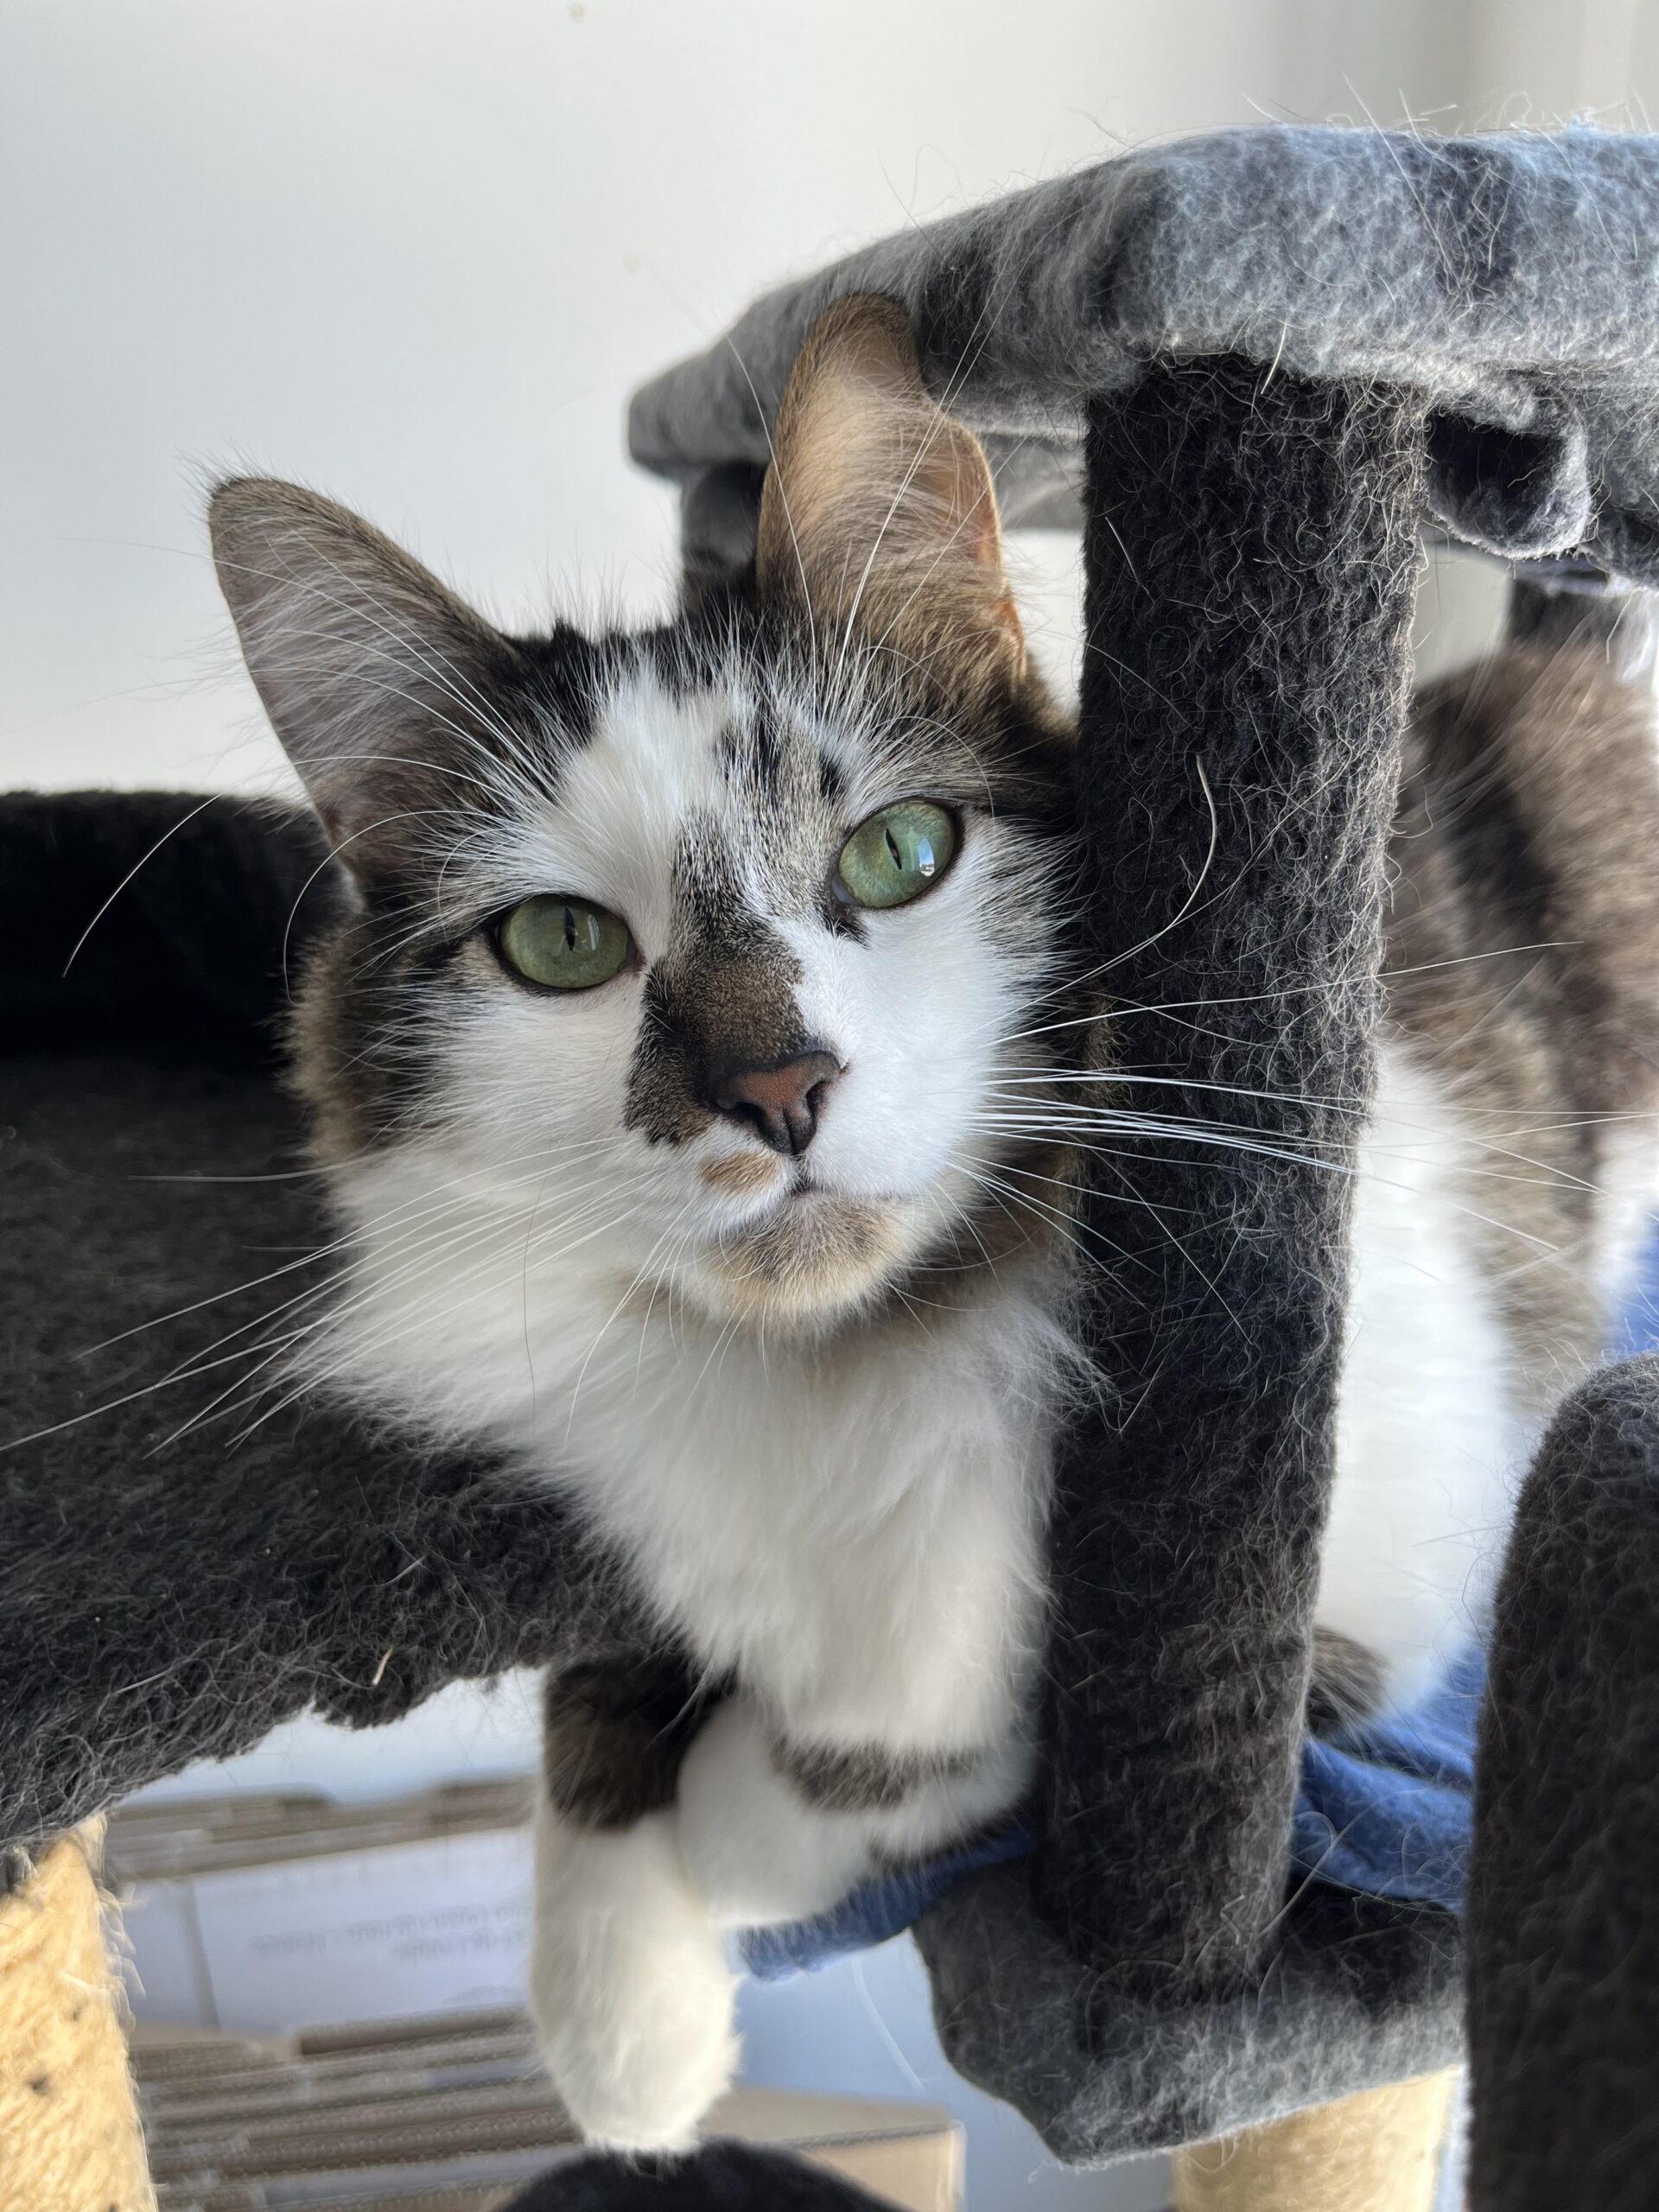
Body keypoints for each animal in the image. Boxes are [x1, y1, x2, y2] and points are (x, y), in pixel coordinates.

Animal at [208, 294, 1659, 2153]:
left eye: (898, 853)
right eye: (560, 946)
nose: (773, 1090)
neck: (851, 1359)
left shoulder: (1364, 1571)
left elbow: (941, 1712)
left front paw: (733, 1836)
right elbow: (597, 1707)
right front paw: (623, 2035)